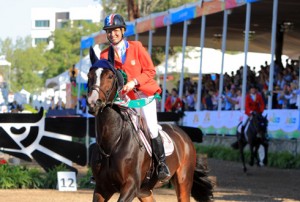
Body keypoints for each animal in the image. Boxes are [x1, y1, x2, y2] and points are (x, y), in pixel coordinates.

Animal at [86, 46, 213, 202]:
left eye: (110, 76)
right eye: (89, 75)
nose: (93, 103)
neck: (112, 143)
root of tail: (184, 135)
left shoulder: (130, 186)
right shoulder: (101, 188)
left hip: (183, 182)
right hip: (145, 191)